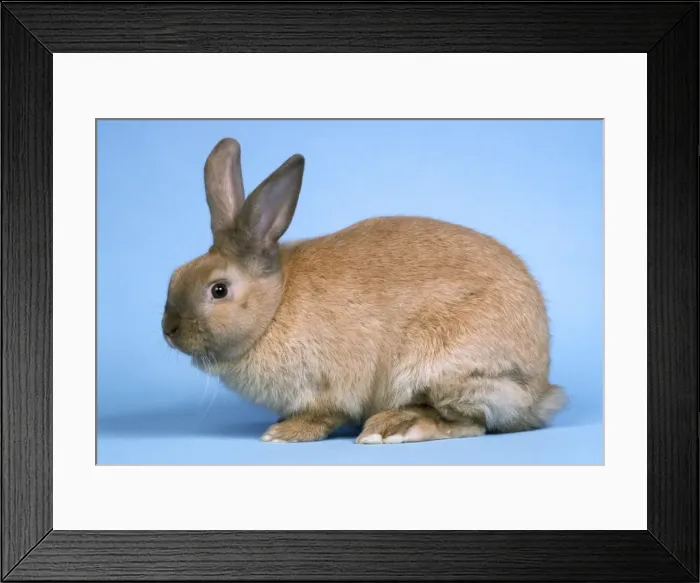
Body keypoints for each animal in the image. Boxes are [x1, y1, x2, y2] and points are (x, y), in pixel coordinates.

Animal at [162, 137, 567, 445]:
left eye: (218, 290)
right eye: (176, 274)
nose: (169, 329)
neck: (274, 306)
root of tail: (540, 391)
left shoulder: (327, 386)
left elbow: (323, 415)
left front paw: (283, 433)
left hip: (447, 372)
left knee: (471, 423)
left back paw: (391, 428)